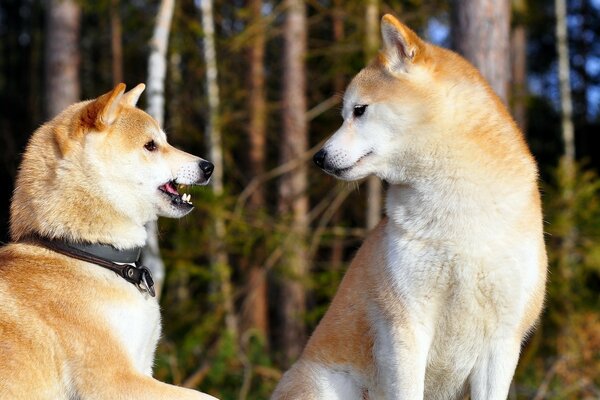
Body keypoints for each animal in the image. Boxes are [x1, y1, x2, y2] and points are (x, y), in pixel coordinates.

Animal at [0, 83, 218, 398]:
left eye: (165, 141)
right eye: (151, 145)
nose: (208, 166)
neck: (87, 251)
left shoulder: (142, 367)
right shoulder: (113, 379)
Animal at [272, 14, 548, 398]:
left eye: (359, 110)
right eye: (345, 113)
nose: (318, 158)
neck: (460, 216)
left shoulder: (502, 341)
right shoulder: (406, 326)